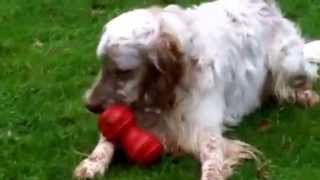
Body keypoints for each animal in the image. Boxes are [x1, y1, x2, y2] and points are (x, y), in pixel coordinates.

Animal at [73, 0, 320, 179]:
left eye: (123, 71)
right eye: (102, 65)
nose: (89, 105)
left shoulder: (206, 131)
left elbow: (212, 161)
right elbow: (106, 140)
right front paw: (91, 164)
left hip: (287, 61)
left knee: (299, 78)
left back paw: (306, 95)